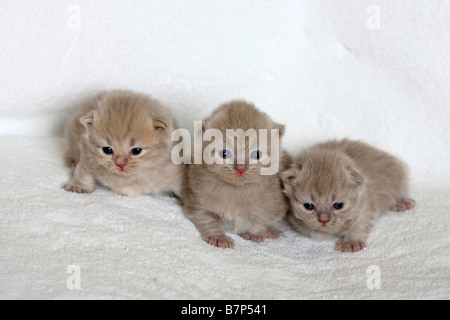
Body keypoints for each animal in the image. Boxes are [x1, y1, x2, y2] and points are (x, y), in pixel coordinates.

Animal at [183, 100, 292, 250]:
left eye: (256, 154)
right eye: (224, 153)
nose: (240, 169)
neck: (237, 190)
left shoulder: (272, 206)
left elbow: (261, 220)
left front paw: (255, 233)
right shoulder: (196, 199)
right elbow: (207, 219)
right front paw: (217, 237)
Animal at [282, 139, 414, 252]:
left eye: (338, 205)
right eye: (308, 206)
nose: (324, 220)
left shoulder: (366, 205)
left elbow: (361, 223)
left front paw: (351, 242)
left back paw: (402, 202)